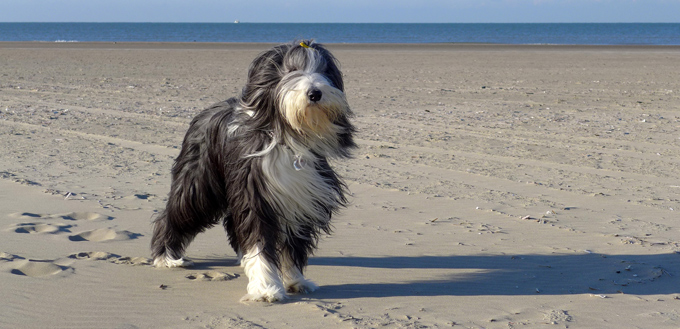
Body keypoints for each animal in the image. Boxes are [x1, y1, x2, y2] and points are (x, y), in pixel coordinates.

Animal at [151, 39, 356, 302]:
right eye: (291, 70)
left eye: (324, 71)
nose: (315, 93)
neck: (289, 138)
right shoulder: (255, 195)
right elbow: (258, 239)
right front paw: (266, 287)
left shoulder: (301, 198)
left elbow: (292, 246)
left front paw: (296, 281)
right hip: (198, 182)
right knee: (176, 212)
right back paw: (166, 257)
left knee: (231, 223)